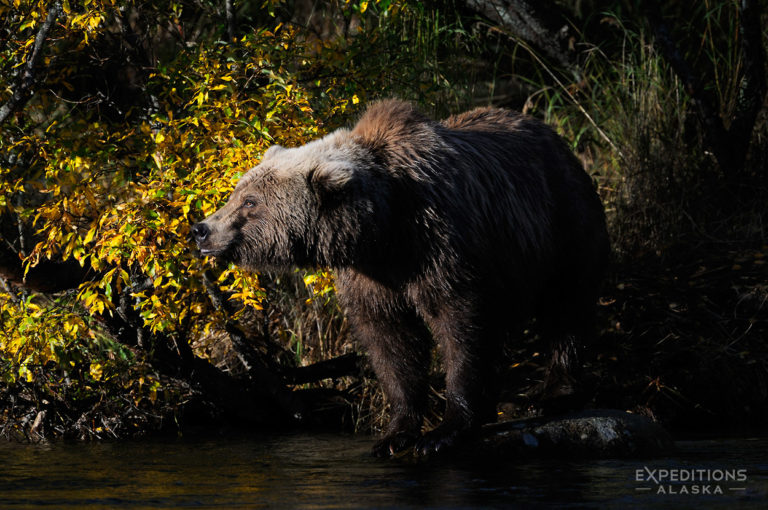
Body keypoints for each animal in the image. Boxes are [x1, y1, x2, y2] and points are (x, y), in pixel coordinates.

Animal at [192, 99, 609, 457]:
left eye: (250, 201)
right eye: (237, 192)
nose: (201, 229)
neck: (384, 229)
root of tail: (553, 135)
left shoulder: (441, 247)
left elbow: (460, 327)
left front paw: (443, 433)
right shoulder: (371, 276)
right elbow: (390, 341)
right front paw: (395, 435)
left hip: (561, 222)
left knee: (567, 305)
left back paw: (558, 391)